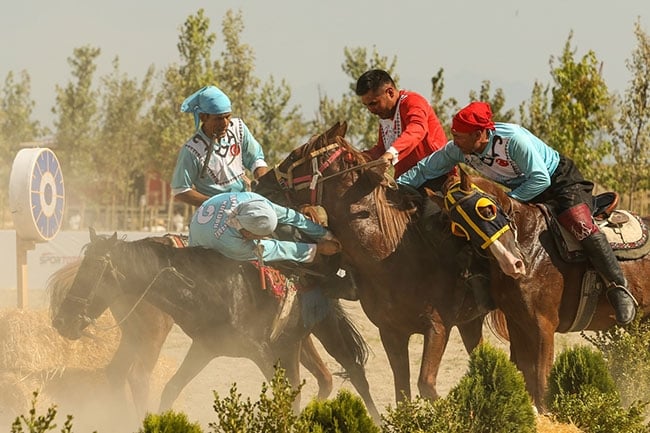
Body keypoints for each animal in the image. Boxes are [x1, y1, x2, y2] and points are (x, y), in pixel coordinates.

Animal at [253, 120, 486, 402]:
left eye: (294, 156)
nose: (260, 181)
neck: (392, 256)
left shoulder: (438, 327)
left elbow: (426, 386)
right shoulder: (391, 333)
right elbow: (403, 393)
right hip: (471, 321)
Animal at [430, 165, 648, 408]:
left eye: (487, 210)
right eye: (460, 229)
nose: (512, 264)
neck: (530, 244)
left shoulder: (543, 325)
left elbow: (542, 384)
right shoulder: (518, 324)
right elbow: (526, 376)